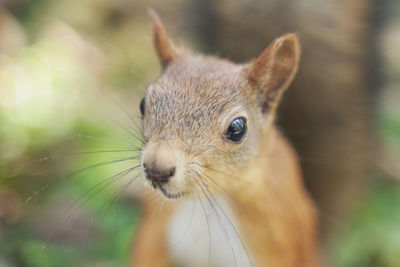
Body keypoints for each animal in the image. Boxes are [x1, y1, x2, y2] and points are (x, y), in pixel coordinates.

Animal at [130, 9, 320, 266]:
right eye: (143, 104)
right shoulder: (154, 229)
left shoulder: (280, 239)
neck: (209, 201)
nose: (156, 169)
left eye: (237, 128)